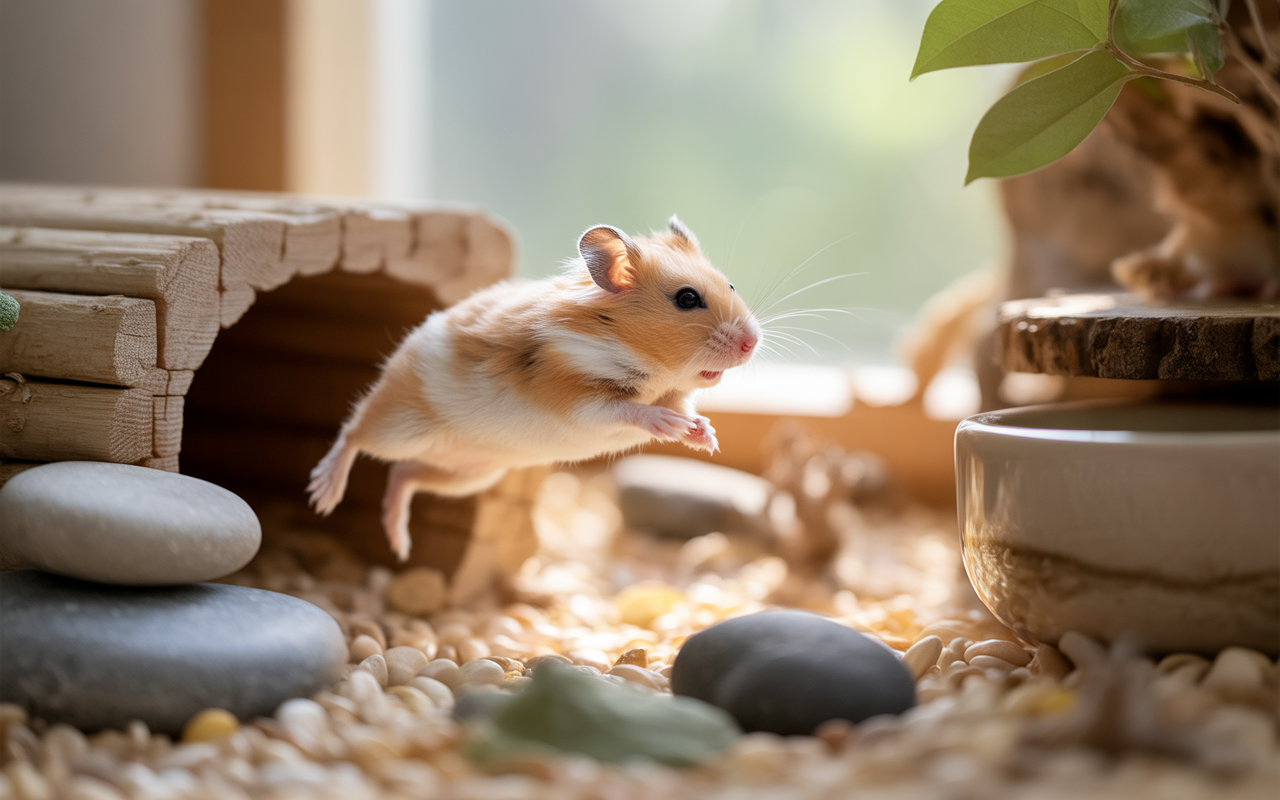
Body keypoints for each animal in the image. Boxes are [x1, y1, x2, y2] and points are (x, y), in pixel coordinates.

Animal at [308, 216, 761, 560]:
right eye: (687, 299)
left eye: (731, 285)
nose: (752, 343)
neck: (654, 371)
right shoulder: (575, 399)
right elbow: (629, 410)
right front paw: (668, 424)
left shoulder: (671, 394)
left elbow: (685, 409)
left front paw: (704, 436)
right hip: (400, 428)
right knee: (353, 433)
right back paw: (323, 494)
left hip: (471, 475)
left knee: (403, 475)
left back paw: (399, 542)